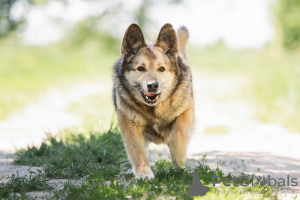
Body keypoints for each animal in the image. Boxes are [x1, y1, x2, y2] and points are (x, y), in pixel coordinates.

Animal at [112, 23, 195, 178]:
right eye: (140, 68)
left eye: (161, 69)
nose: (152, 85)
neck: (155, 109)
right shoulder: (130, 126)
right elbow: (137, 152)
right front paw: (143, 173)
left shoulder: (186, 111)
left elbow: (178, 137)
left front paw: (179, 164)